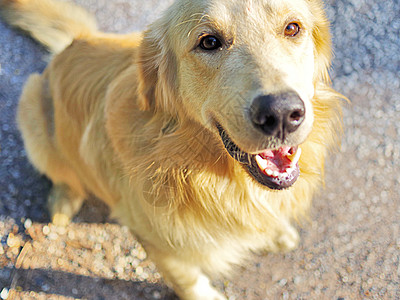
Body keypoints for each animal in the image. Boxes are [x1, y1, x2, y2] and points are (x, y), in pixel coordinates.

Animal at [0, 0, 344, 298]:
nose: (282, 114)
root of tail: (74, 42)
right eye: (209, 42)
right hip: (30, 111)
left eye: (292, 28)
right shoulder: (153, 236)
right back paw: (63, 201)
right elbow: (186, 276)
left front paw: (275, 231)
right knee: (63, 174)